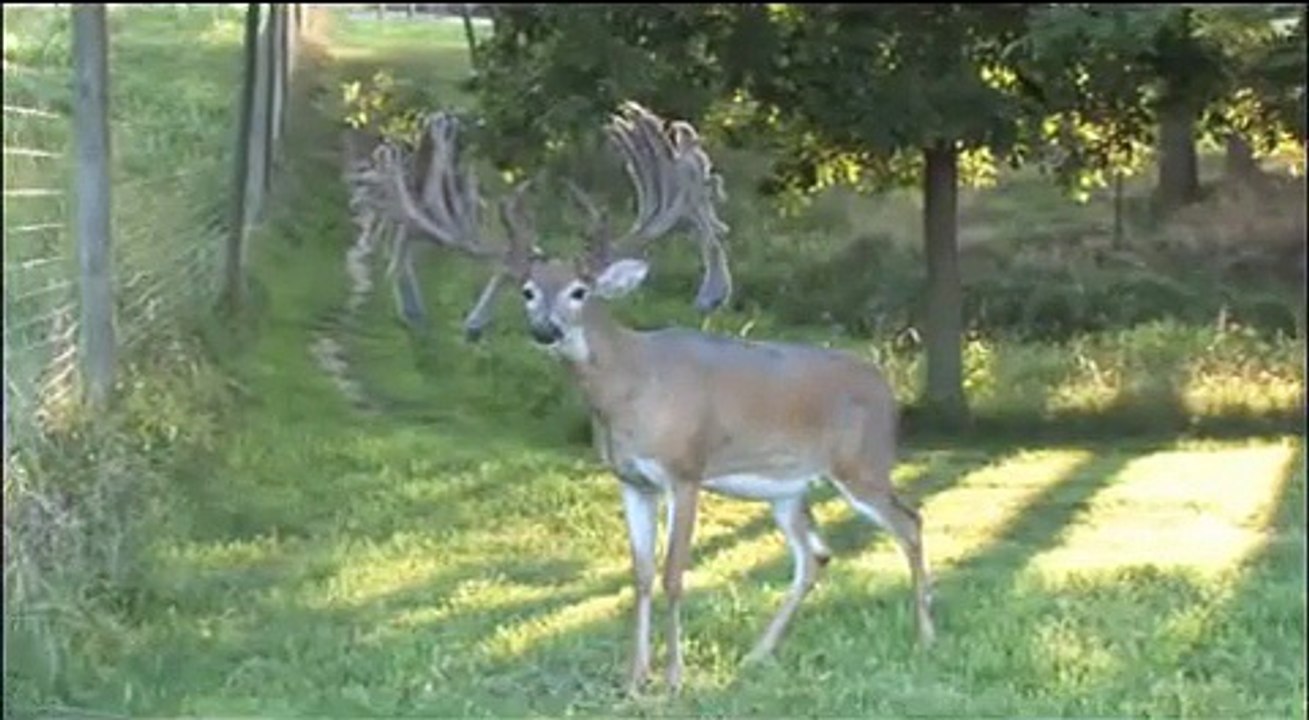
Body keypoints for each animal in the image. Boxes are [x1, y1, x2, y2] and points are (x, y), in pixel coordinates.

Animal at [373, 102, 936, 695]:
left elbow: (672, 575)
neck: (629, 390)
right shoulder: (631, 480)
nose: (545, 330)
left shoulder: (684, 471)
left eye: (579, 291)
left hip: (862, 463)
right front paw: (633, 678)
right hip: (787, 488)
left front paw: (672, 679)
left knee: (910, 522)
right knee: (816, 555)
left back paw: (925, 637)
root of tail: (886, 386)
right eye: (527, 291)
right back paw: (758, 654)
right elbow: (640, 575)